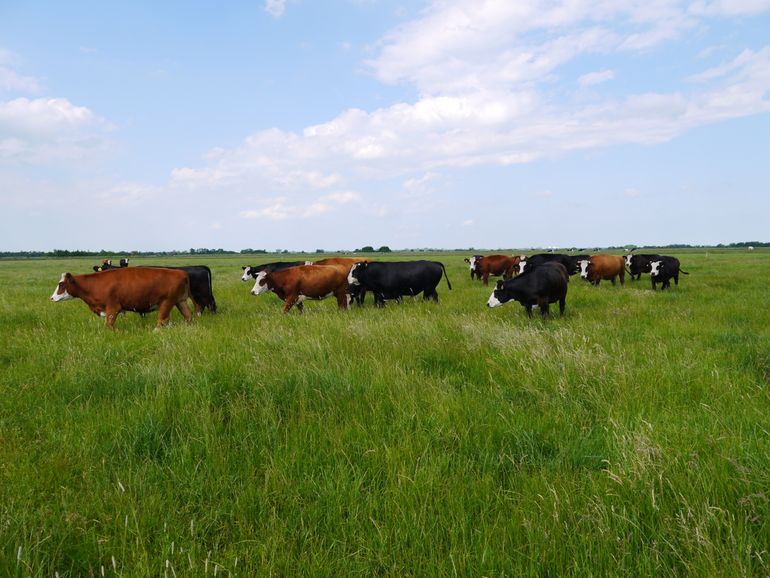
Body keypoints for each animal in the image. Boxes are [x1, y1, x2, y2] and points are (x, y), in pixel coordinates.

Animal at [50, 266, 192, 328]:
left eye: (61, 284)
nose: (51, 298)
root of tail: (181, 272)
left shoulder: (113, 308)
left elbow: (108, 325)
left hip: (166, 303)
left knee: (161, 321)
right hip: (180, 301)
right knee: (188, 316)